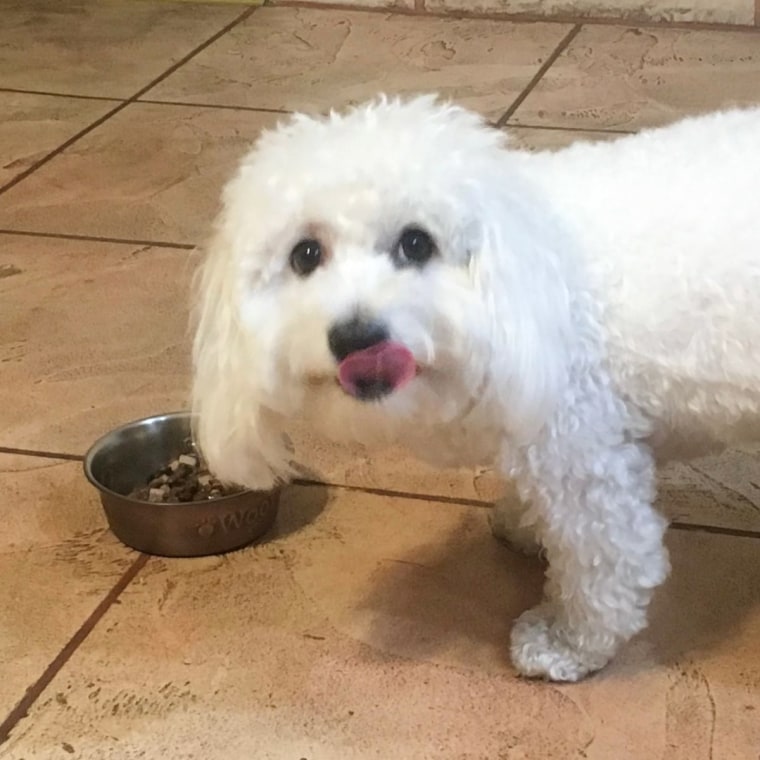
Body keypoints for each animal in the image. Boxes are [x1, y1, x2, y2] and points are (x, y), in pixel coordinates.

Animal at [191, 96, 760, 684]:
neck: (530, 271)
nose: (357, 337)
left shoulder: (583, 459)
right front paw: (525, 524)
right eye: (305, 255)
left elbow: (605, 564)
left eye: (416, 243)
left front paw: (568, 642)